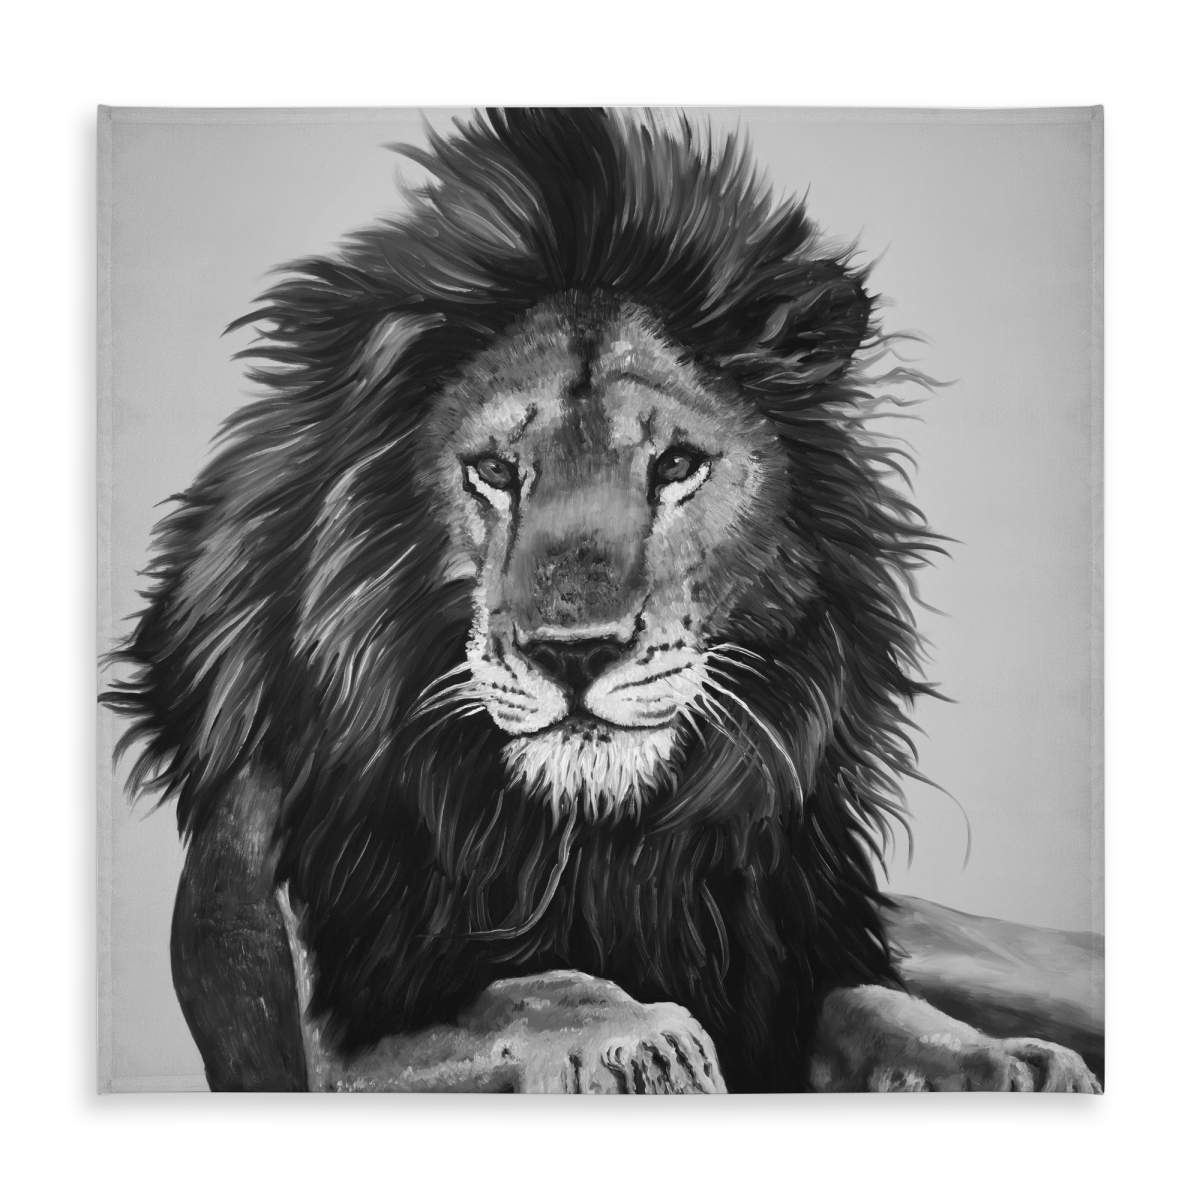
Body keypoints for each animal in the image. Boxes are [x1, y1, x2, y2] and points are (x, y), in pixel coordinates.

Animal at [105, 108, 1099, 1092]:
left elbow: (887, 1010)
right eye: (496, 471)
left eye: (676, 465)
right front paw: (644, 1040)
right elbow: (537, 988)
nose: (574, 652)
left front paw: (1012, 1062)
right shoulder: (334, 1039)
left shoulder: (792, 955)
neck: (601, 843)